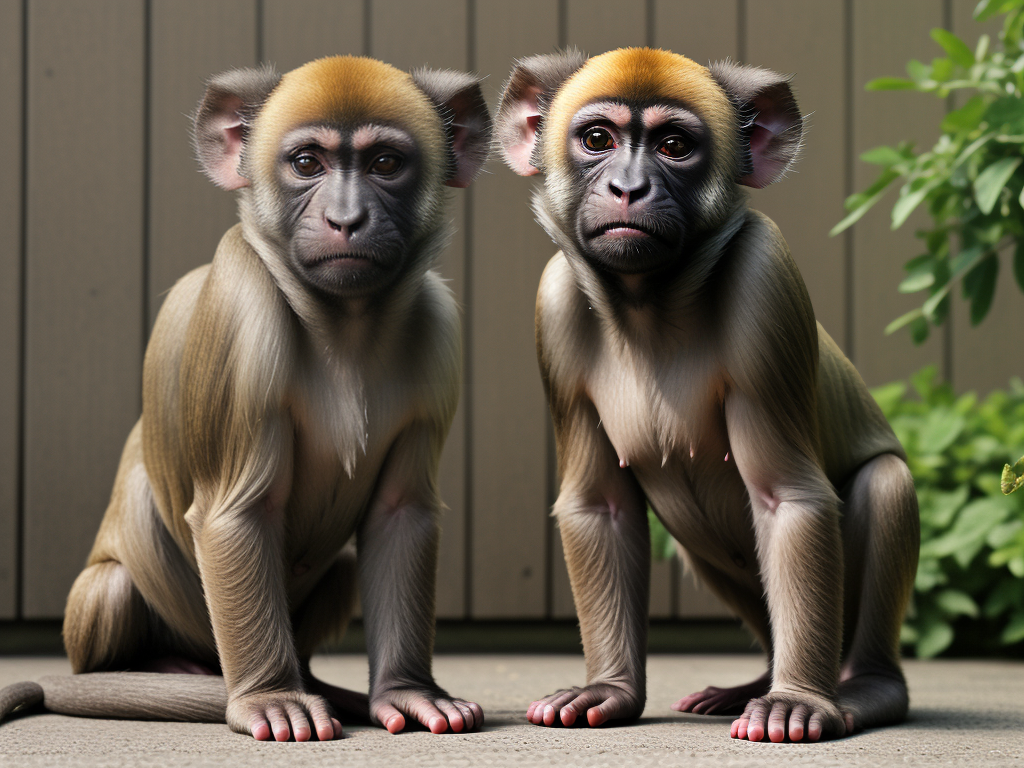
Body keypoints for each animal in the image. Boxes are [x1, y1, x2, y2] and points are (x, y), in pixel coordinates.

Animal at [0, 55, 491, 742]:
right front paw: (270, 696)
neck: (346, 326)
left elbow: (400, 515)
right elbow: (236, 511)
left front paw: (408, 690)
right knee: (114, 589)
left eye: (385, 163)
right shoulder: (242, 302)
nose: (346, 220)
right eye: (307, 162)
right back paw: (168, 670)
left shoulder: (439, 328)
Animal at [495, 48, 919, 743]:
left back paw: (861, 685)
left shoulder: (766, 279)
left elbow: (787, 496)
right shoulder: (553, 305)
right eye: (597, 140)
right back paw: (757, 681)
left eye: (673, 146)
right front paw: (609, 688)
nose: (629, 188)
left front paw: (798, 698)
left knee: (884, 481)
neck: (651, 304)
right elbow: (600, 505)